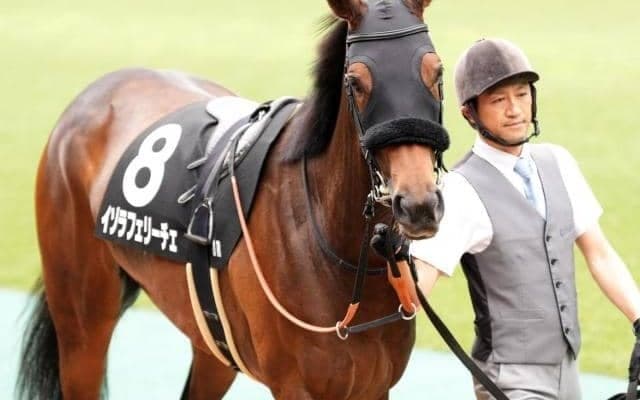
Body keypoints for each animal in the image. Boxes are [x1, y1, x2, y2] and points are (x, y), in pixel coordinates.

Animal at [17, 0, 448, 399]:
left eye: (437, 72)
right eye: (356, 82)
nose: (418, 205)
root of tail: (98, 91)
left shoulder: (373, 386)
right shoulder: (295, 386)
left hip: (211, 339)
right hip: (82, 323)